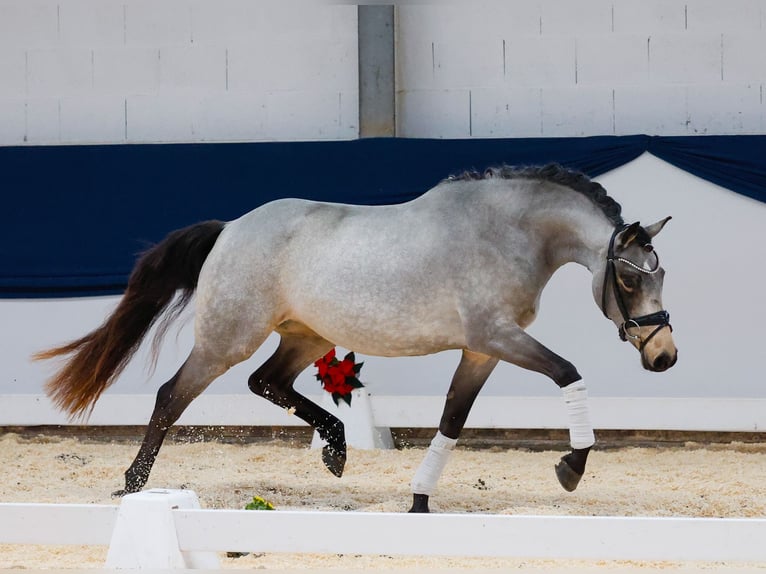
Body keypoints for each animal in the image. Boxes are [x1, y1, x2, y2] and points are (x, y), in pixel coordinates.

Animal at [34, 164, 680, 516]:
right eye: (628, 279)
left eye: (661, 274)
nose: (664, 356)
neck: (506, 231)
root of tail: (231, 228)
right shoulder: (497, 336)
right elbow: (569, 373)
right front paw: (572, 465)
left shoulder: (481, 350)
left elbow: (452, 419)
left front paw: (419, 500)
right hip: (226, 339)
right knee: (173, 396)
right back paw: (133, 486)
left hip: (304, 335)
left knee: (267, 382)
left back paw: (338, 449)